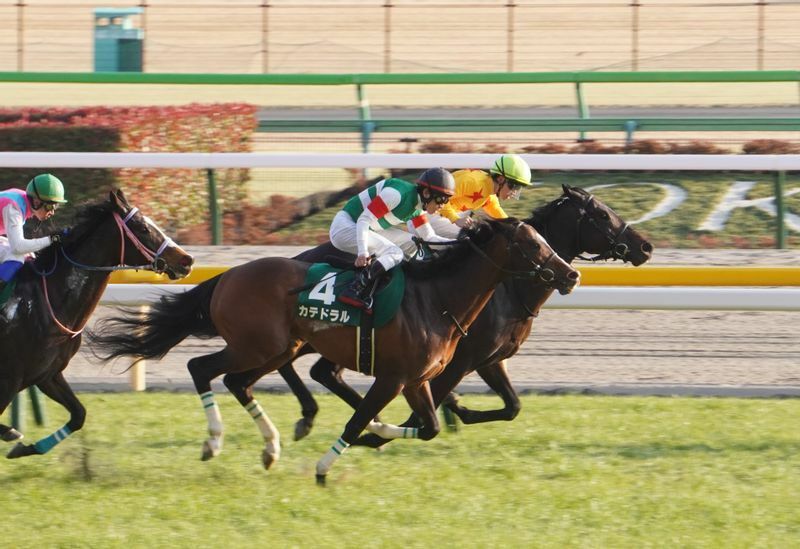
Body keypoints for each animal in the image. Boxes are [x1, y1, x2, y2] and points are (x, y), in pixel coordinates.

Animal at [0, 188, 194, 458]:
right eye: (143, 227)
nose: (187, 260)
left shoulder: (47, 374)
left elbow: (79, 415)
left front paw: (24, 448)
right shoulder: (9, 379)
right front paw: (11, 433)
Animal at [87, 216, 580, 482]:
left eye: (545, 240)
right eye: (532, 244)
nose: (571, 275)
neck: (437, 298)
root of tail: (227, 276)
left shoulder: (418, 380)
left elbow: (430, 426)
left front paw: (378, 433)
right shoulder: (394, 378)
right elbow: (361, 418)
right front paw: (336, 459)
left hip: (277, 348)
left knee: (236, 381)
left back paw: (270, 446)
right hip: (257, 345)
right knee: (200, 367)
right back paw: (215, 441)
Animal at [278, 184, 652, 446]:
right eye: (602, 215)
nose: (645, 247)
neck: (508, 287)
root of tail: (301, 256)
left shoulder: (490, 359)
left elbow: (512, 407)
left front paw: (457, 412)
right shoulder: (460, 361)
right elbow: (423, 413)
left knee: (321, 371)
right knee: (295, 363)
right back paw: (317, 417)